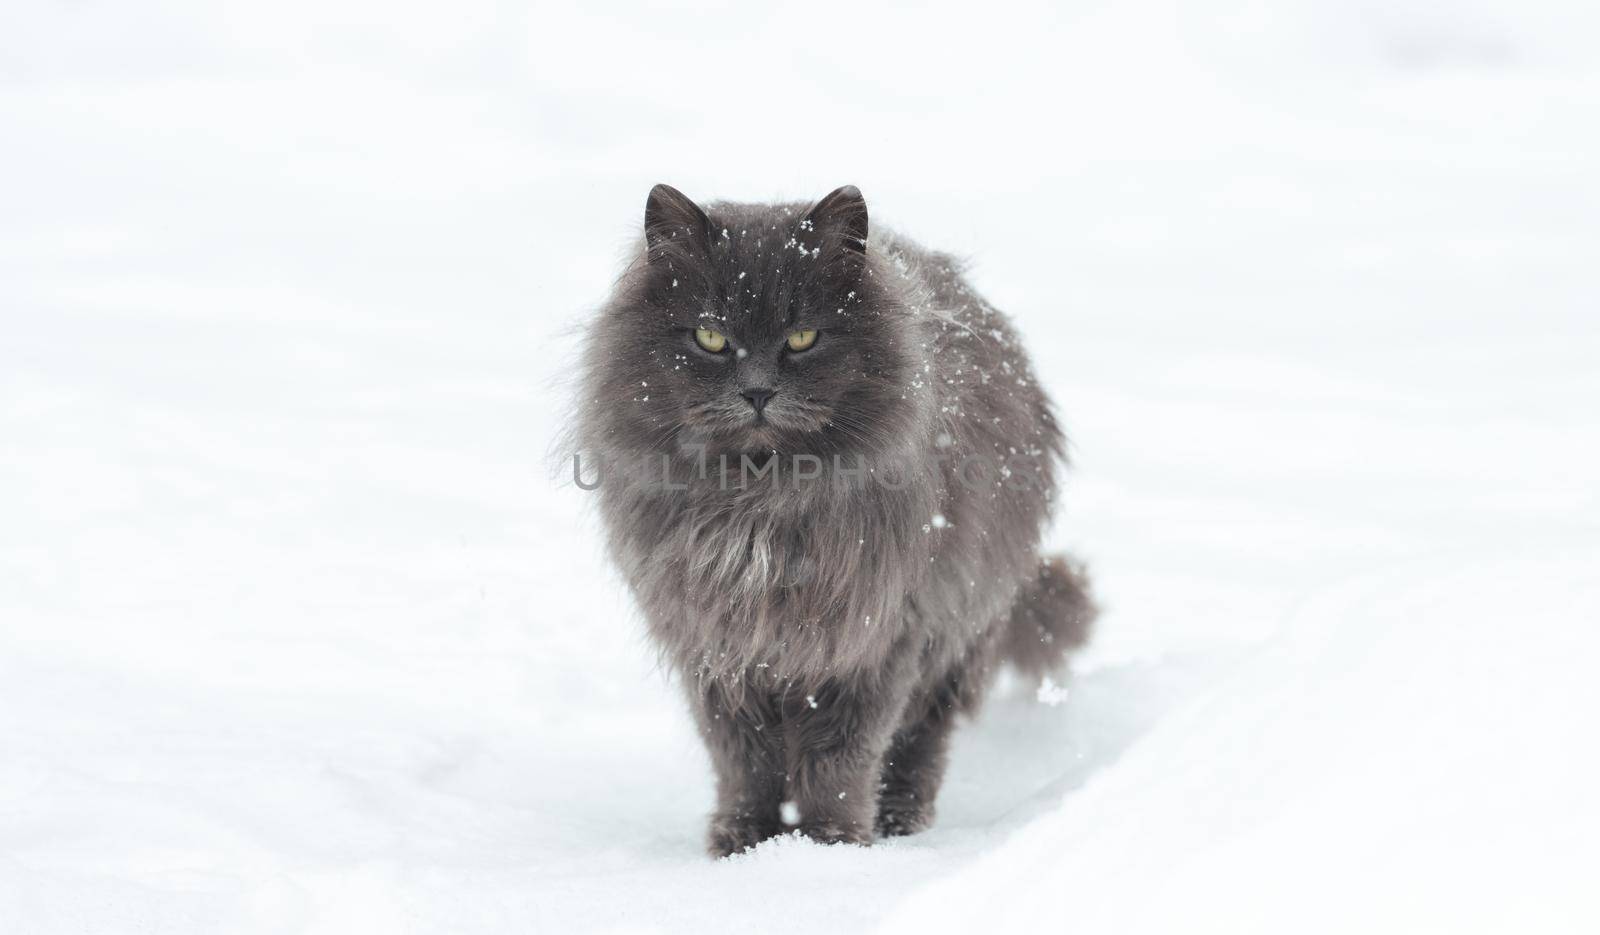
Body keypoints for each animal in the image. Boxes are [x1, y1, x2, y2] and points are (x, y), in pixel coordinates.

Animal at [579, 182, 1100, 851]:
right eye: (710, 338)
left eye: (803, 338)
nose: (757, 391)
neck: (758, 504)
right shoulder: (716, 649)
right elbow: (742, 761)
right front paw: (743, 843)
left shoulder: (874, 642)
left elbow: (838, 760)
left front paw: (830, 847)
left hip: (955, 634)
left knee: (922, 741)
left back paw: (901, 822)